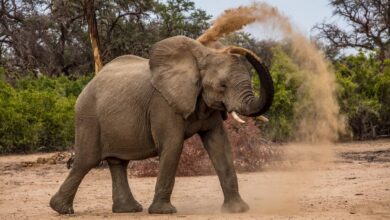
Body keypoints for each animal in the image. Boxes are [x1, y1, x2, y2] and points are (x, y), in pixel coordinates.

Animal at [49, 35, 274, 215]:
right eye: (222, 86)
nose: (235, 49)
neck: (200, 56)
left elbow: (220, 145)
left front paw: (238, 210)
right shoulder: (163, 103)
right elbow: (173, 145)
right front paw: (164, 212)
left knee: (118, 163)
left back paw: (128, 210)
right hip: (88, 117)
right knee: (86, 161)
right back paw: (62, 209)